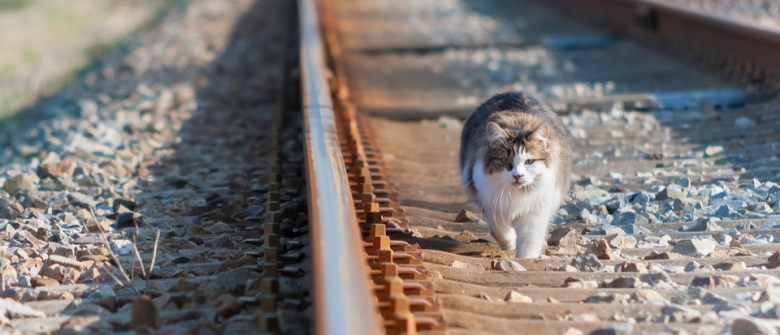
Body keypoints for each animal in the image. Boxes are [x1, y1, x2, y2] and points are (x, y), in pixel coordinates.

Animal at [458, 92, 572, 260]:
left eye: (529, 161)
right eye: (505, 161)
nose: (517, 175)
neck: (517, 194)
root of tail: (518, 92)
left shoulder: (535, 213)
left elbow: (529, 243)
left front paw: (525, 259)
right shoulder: (493, 206)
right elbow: (500, 232)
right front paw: (510, 243)